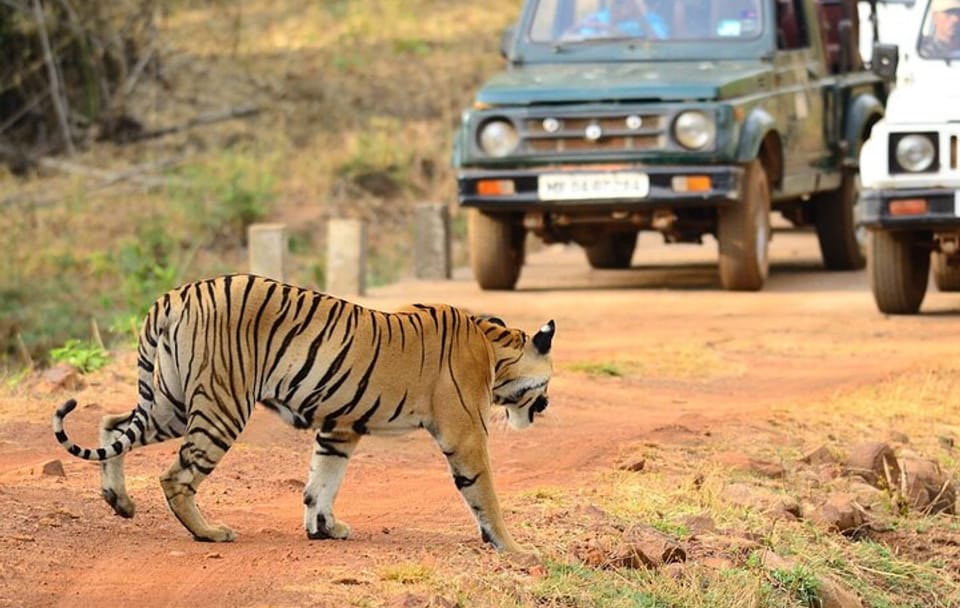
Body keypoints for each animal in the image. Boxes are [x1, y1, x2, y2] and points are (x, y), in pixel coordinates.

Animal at [51, 274, 555, 554]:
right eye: (547, 384)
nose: (547, 405)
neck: (493, 346)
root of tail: (176, 295)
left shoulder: (340, 427)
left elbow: (322, 482)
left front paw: (324, 529)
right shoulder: (465, 434)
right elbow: (485, 494)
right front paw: (514, 549)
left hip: (171, 402)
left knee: (112, 424)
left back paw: (119, 501)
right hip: (221, 407)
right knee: (175, 476)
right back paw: (209, 533)